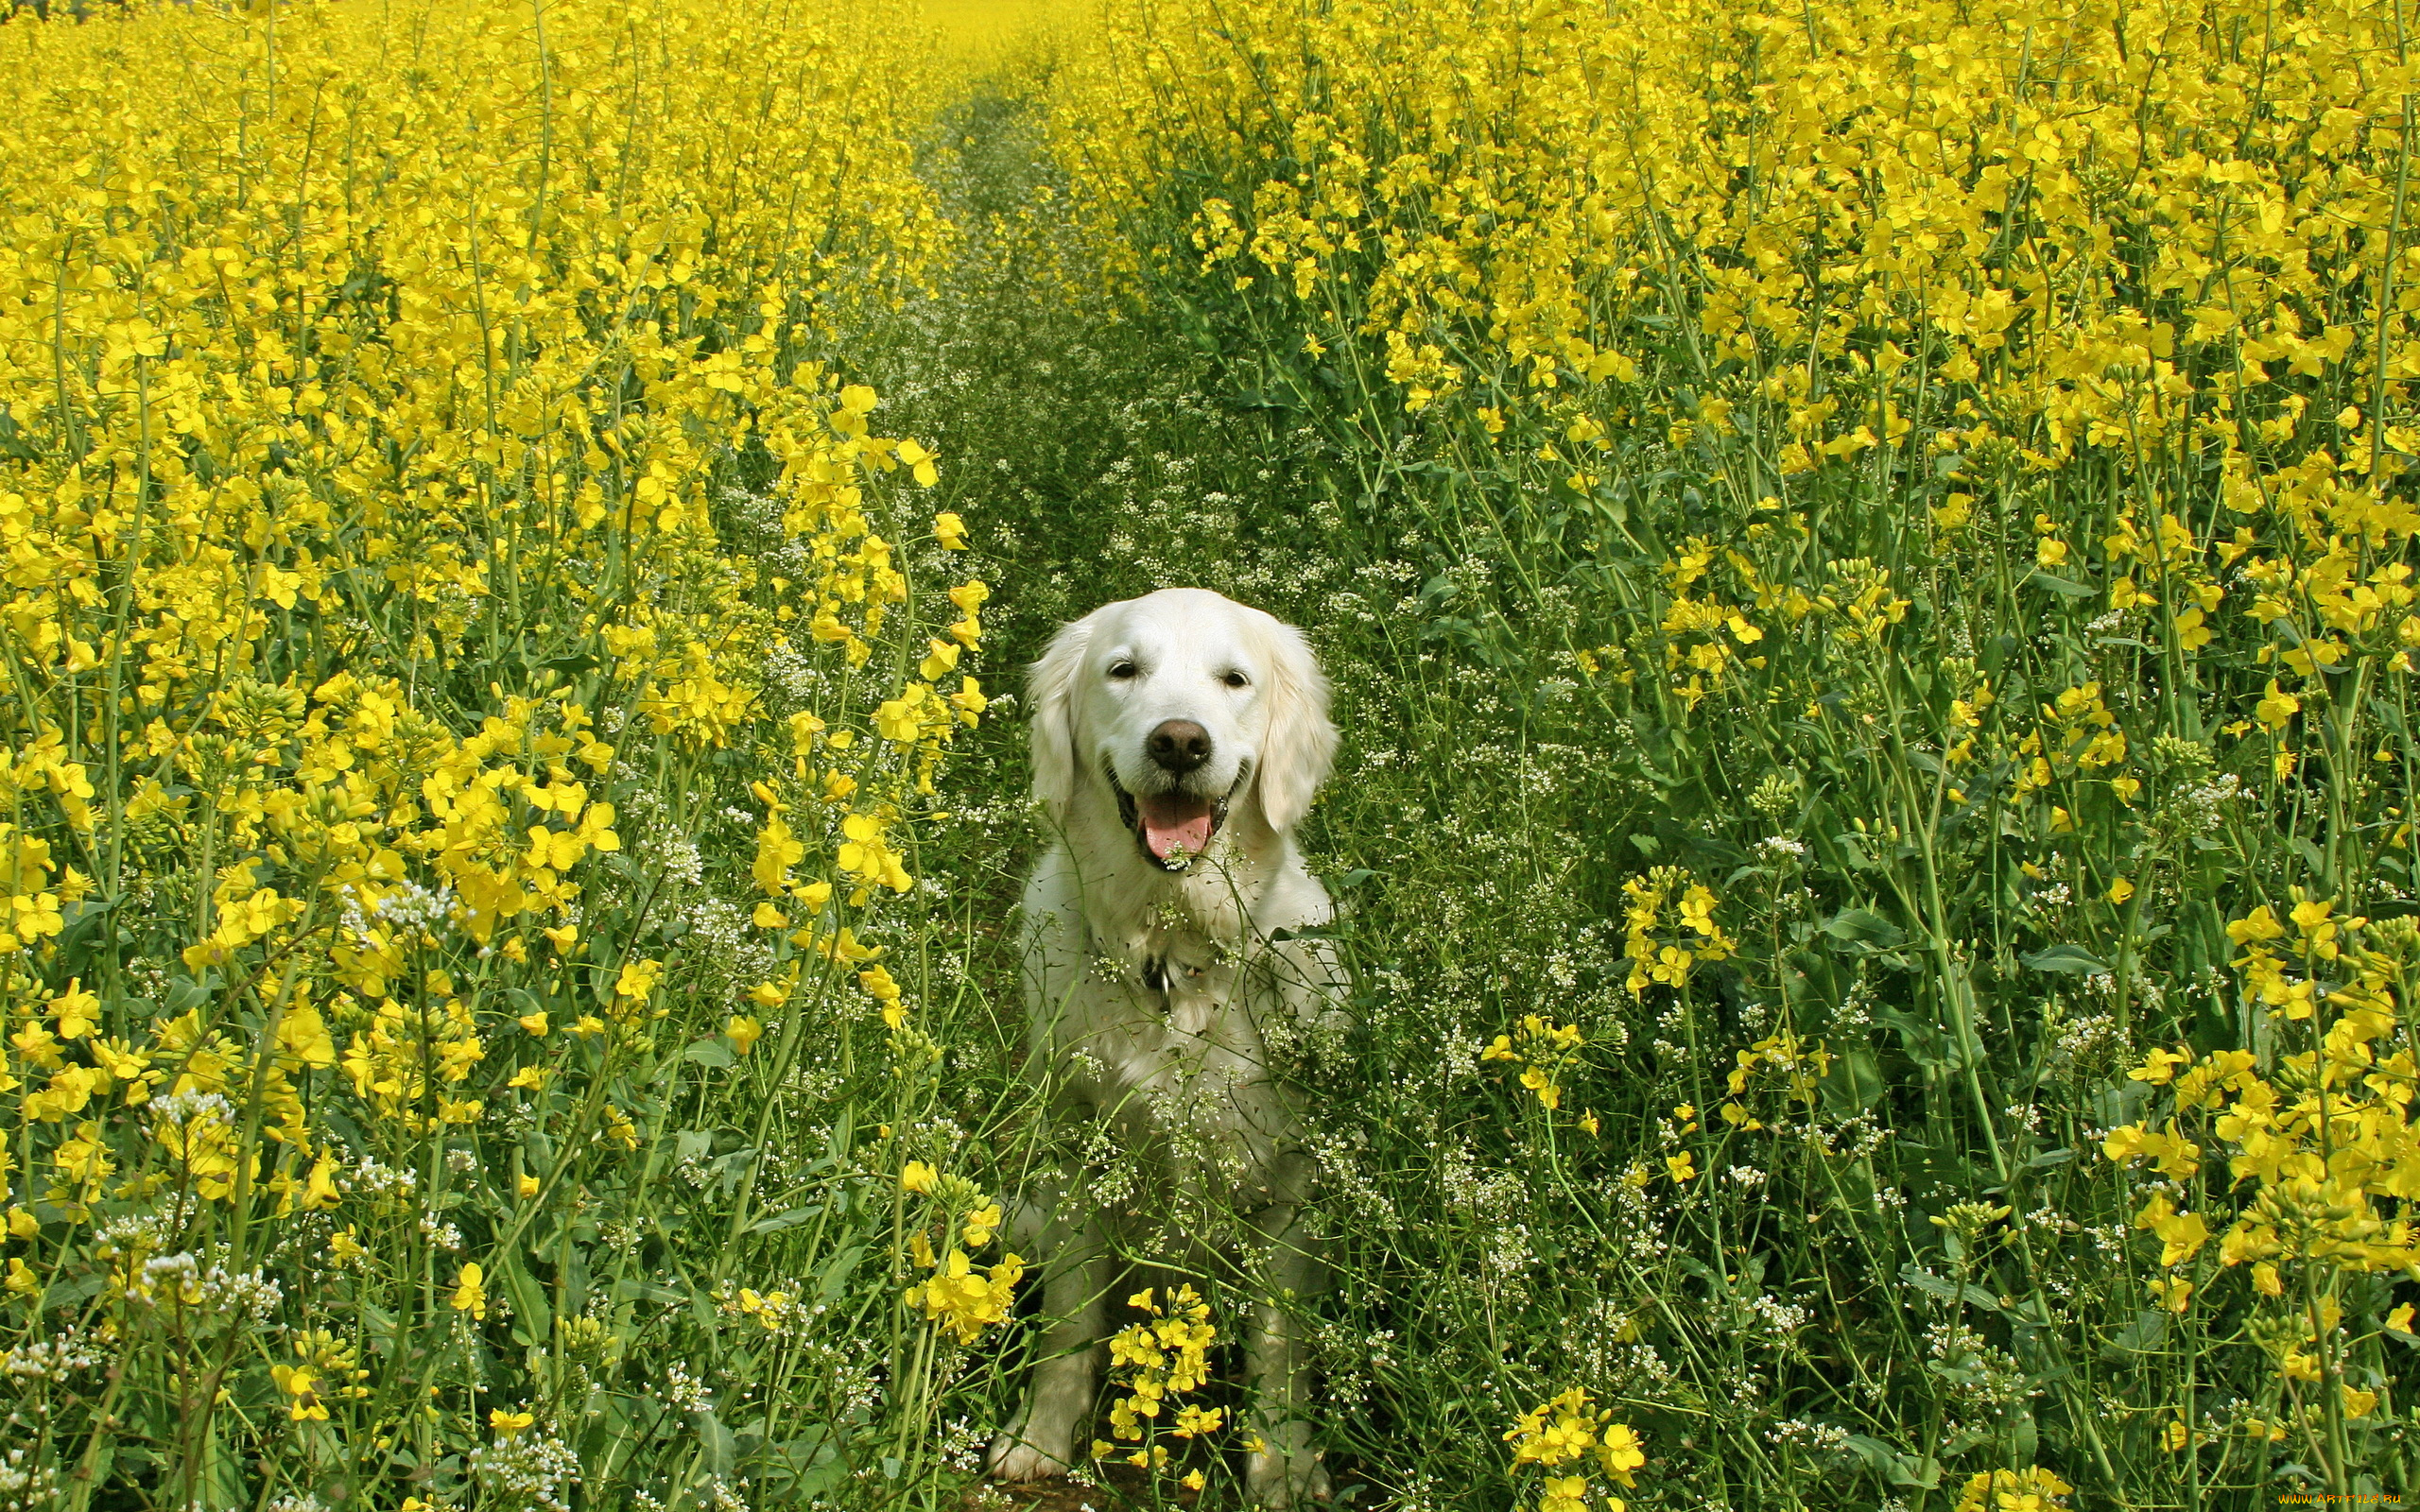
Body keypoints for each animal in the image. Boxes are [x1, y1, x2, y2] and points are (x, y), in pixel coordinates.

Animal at [992, 588, 1355, 1500]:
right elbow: (1068, 1323)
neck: (1173, 962)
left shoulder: (1289, 1188)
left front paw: (1282, 1466)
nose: (1181, 742)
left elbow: (1278, 1347)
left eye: (1234, 680)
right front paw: (1042, 1439)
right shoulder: (1078, 1158)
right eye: (1124, 670)